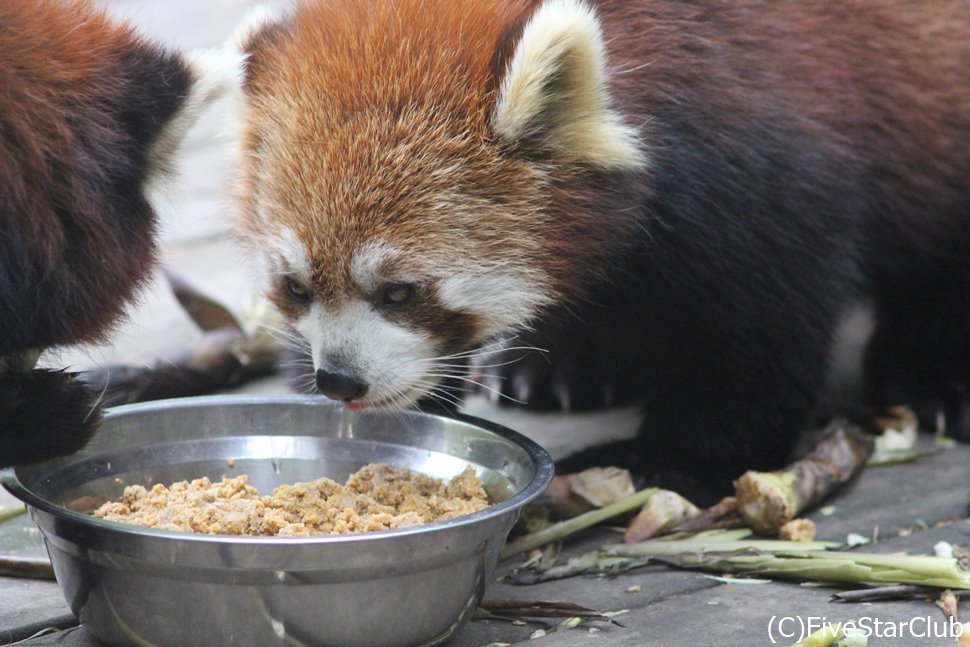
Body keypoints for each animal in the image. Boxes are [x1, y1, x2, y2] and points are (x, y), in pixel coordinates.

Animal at [231, 0, 968, 496]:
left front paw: (671, 459)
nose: (340, 380)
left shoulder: (767, 153)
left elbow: (757, 335)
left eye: (400, 291)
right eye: (295, 286)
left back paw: (938, 377)